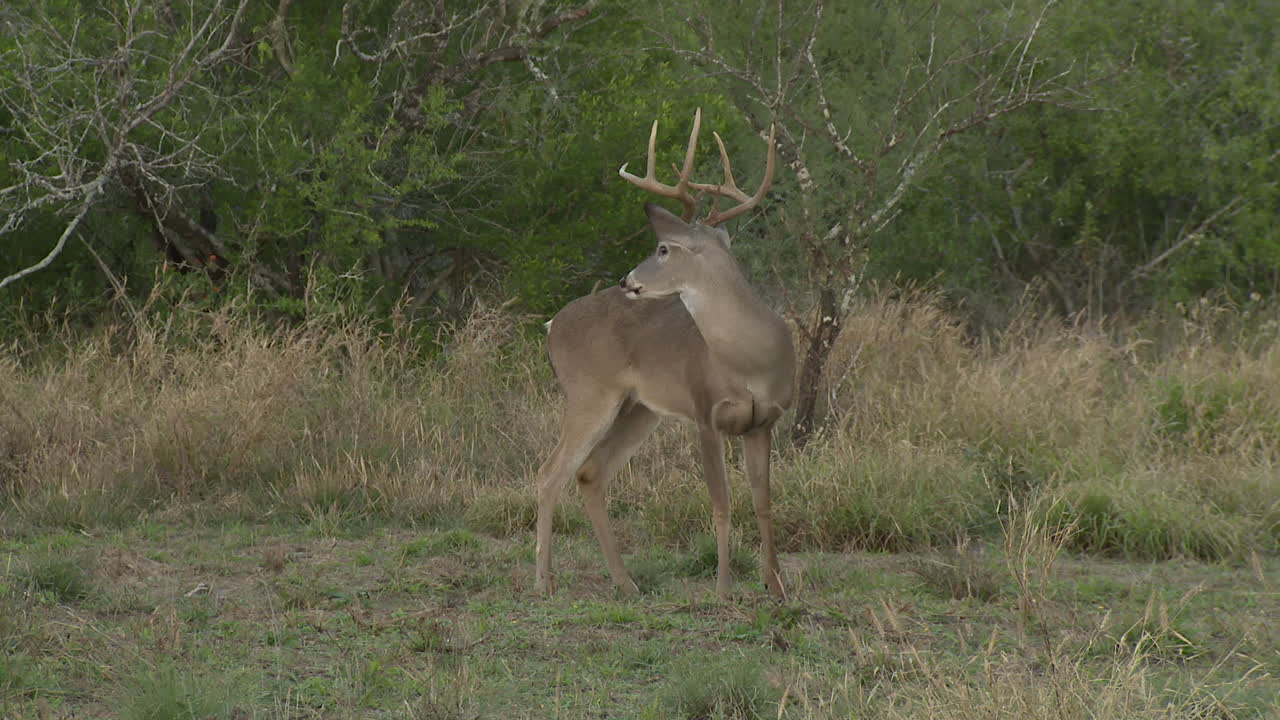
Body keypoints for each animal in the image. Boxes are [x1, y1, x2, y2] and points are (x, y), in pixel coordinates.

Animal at [534, 109, 794, 600]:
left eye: (662, 248)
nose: (627, 280)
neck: (752, 361)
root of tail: (552, 325)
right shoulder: (706, 411)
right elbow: (721, 501)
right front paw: (723, 587)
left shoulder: (764, 421)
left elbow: (764, 501)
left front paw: (776, 585)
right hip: (589, 394)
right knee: (549, 471)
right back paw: (544, 581)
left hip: (639, 408)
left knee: (589, 472)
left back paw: (625, 581)